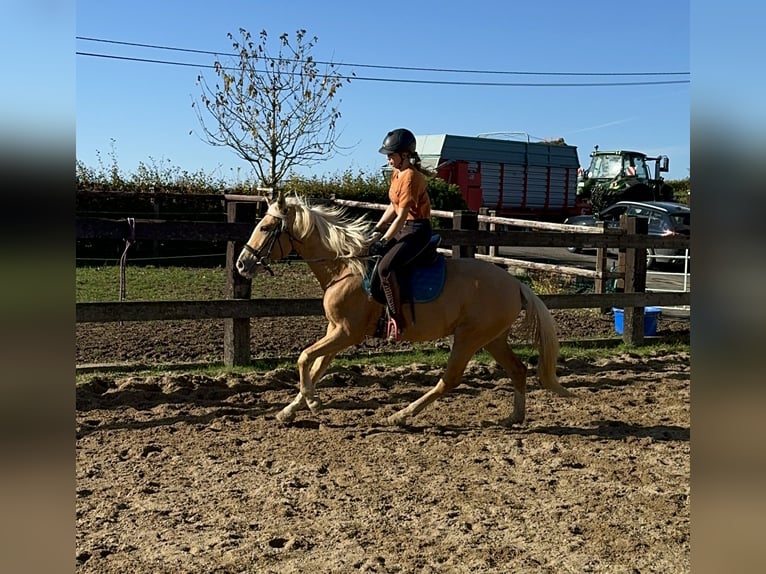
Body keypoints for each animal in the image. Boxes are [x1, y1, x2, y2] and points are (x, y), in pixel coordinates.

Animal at [237, 194, 572, 428]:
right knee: (518, 369)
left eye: (265, 227)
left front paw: (314, 404)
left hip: (469, 338)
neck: (345, 267)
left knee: (449, 380)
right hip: (492, 338)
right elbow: (316, 366)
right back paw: (514, 418)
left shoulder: (347, 332)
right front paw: (290, 410)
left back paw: (400, 416)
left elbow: (305, 358)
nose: (242, 264)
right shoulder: (335, 330)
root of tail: (516, 284)